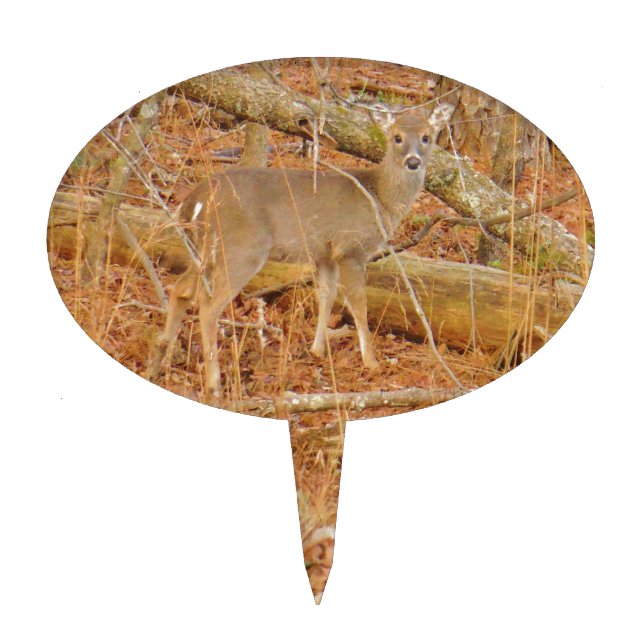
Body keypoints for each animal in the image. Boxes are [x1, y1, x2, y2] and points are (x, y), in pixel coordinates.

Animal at [146, 104, 454, 398]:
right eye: (397, 137)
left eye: (427, 137)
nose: (413, 161)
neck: (380, 199)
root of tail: (195, 199)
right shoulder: (350, 248)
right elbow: (358, 303)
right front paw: (372, 362)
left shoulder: (325, 254)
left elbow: (326, 295)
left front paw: (317, 350)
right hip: (242, 248)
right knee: (209, 305)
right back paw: (214, 383)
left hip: (204, 251)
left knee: (181, 289)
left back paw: (162, 360)